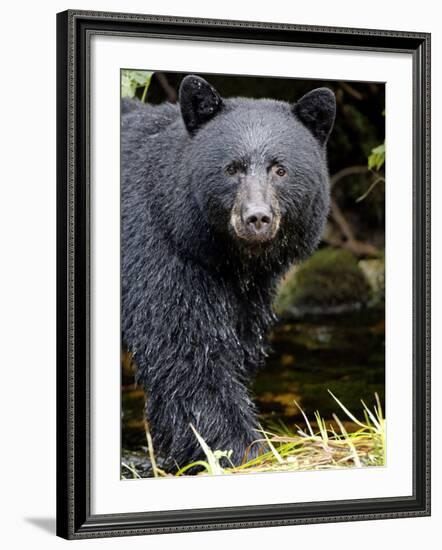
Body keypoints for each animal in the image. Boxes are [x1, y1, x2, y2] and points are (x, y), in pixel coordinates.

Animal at [121, 74, 334, 470]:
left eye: (280, 169)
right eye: (232, 168)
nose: (257, 217)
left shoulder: (244, 294)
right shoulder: (160, 255)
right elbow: (185, 352)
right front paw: (244, 449)